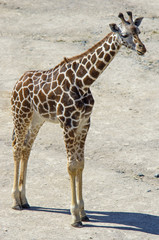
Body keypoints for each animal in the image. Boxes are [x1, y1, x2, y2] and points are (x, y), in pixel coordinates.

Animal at [11, 12, 147, 228]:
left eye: (139, 31)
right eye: (125, 34)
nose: (142, 48)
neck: (83, 82)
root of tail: (17, 82)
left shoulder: (85, 124)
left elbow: (81, 164)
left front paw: (83, 213)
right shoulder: (68, 124)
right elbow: (71, 166)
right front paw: (74, 216)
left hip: (37, 119)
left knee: (25, 148)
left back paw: (25, 200)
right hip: (21, 114)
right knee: (16, 148)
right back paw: (16, 201)